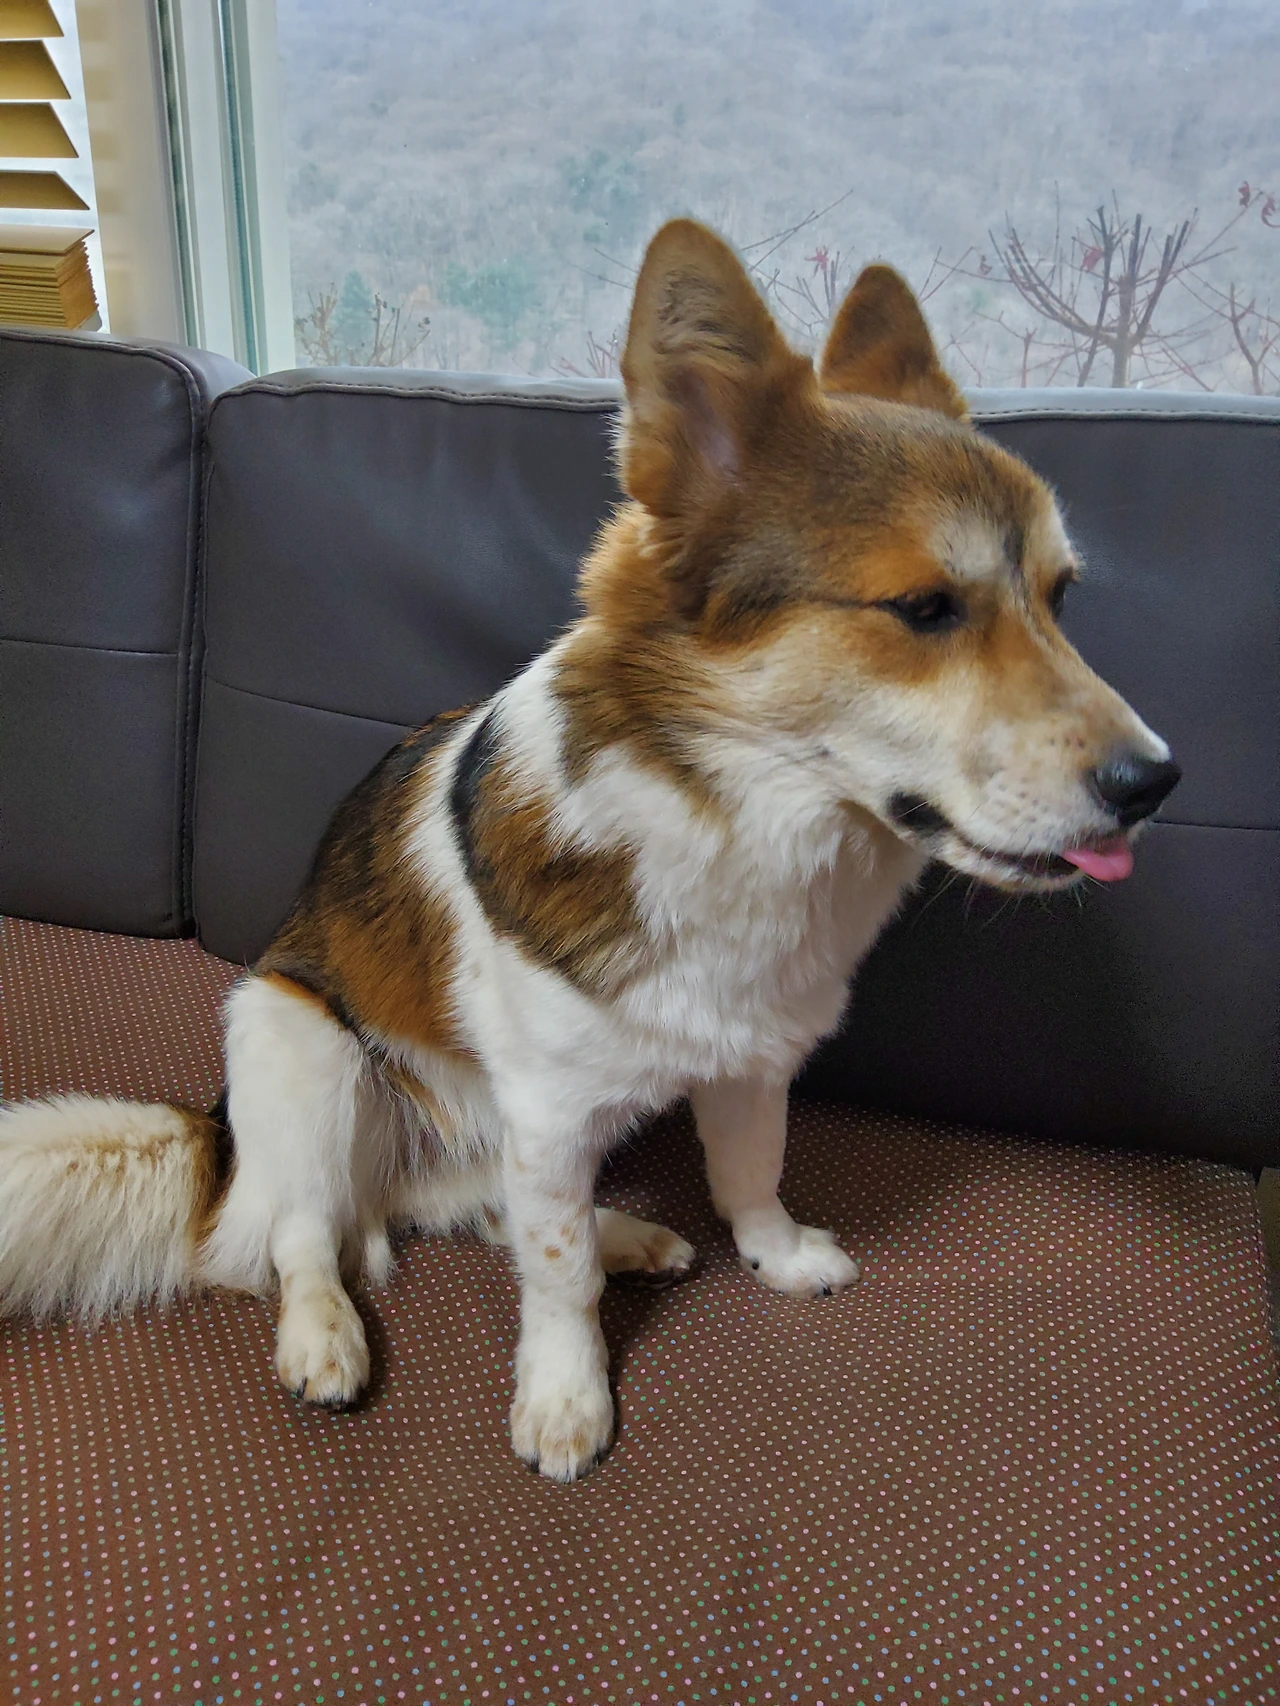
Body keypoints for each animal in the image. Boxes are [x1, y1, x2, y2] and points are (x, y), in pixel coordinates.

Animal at [0, 220, 1179, 1481]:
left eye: (1059, 595)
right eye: (923, 608)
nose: (1156, 782)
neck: (738, 821)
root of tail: (221, 1135)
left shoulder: (749, 1063)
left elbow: (745, 1174)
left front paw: (771, 1253)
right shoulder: (549, 1111)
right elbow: (553, 1280)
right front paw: (564, 1396)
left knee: (476, 1210)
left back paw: (624, 1232)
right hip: (297, 1048)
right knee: (302, 1235)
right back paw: (323, 1334)